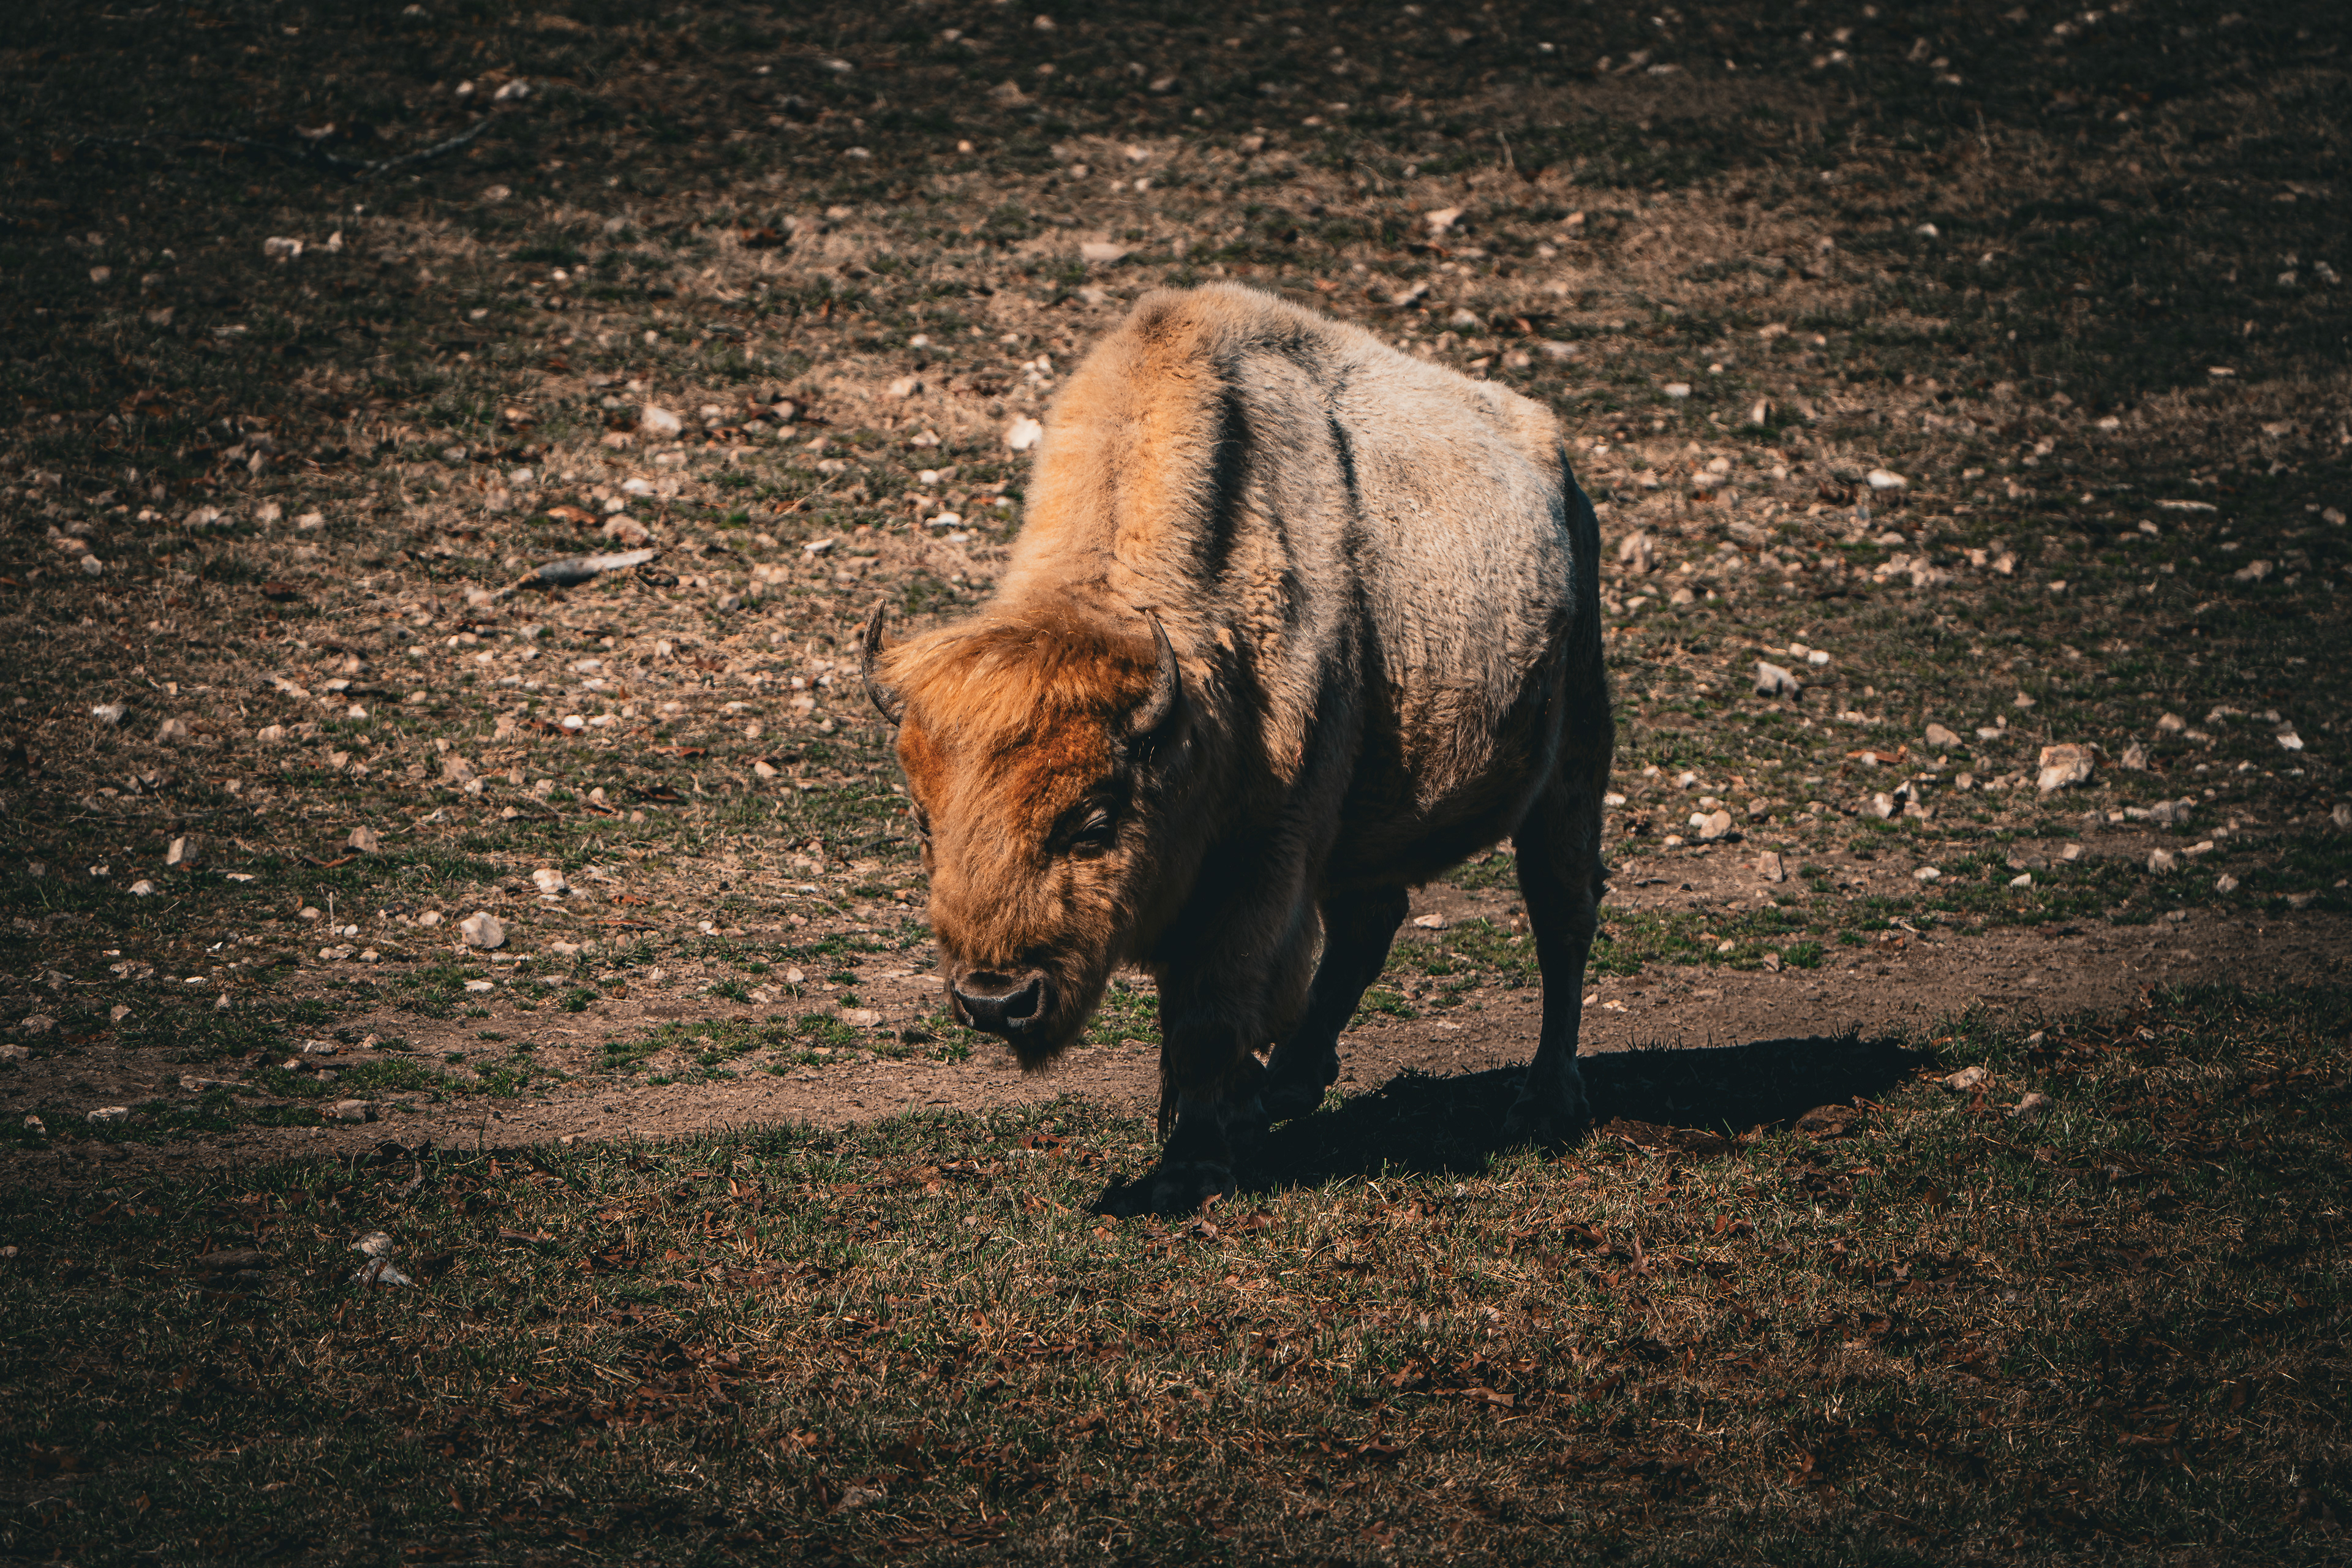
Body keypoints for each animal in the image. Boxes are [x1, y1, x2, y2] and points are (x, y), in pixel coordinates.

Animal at [862, 283, 1610, 1211]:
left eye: (1094, 823)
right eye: (924, 825)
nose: (997, 1000)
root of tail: (1560, 470)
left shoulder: (1262, 861)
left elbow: (1208, 1016)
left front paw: (1192, 1162)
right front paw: (1219, 1119)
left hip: (1573, 758)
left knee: (1561, 914)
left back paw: (1544, 1099)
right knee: (1370, 923)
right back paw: (1286, 1085)